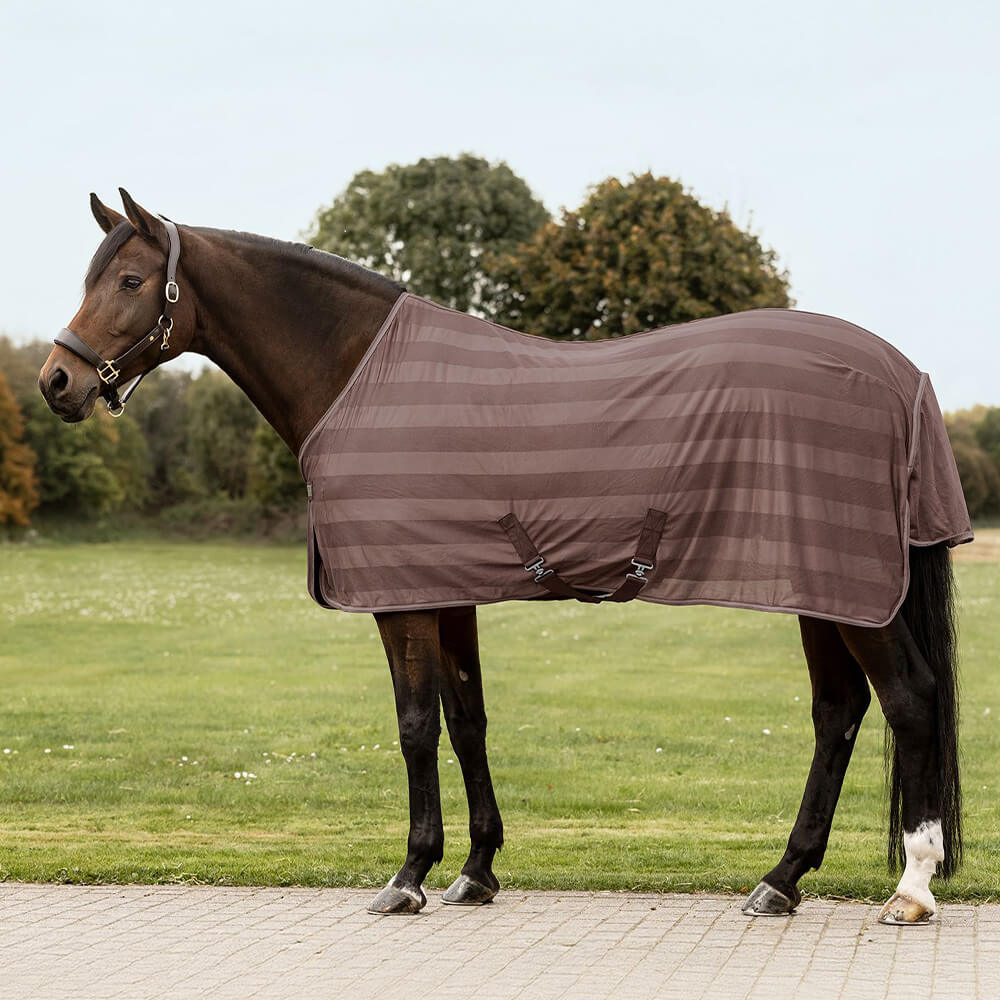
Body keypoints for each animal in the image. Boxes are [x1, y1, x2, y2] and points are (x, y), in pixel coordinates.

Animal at [38, 190, 970, 924]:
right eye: (91, 277)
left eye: (129, 281)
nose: (57, 382)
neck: (361, 374)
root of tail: (903, 376)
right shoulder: (449, 589)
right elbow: (467, 720)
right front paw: (475, 871)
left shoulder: (403, 600)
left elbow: (415, 726)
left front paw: (409, 874)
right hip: (824, 589)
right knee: (839, 713)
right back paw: (781, 880)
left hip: (855, 591)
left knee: (909, 698)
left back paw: (911, 888)